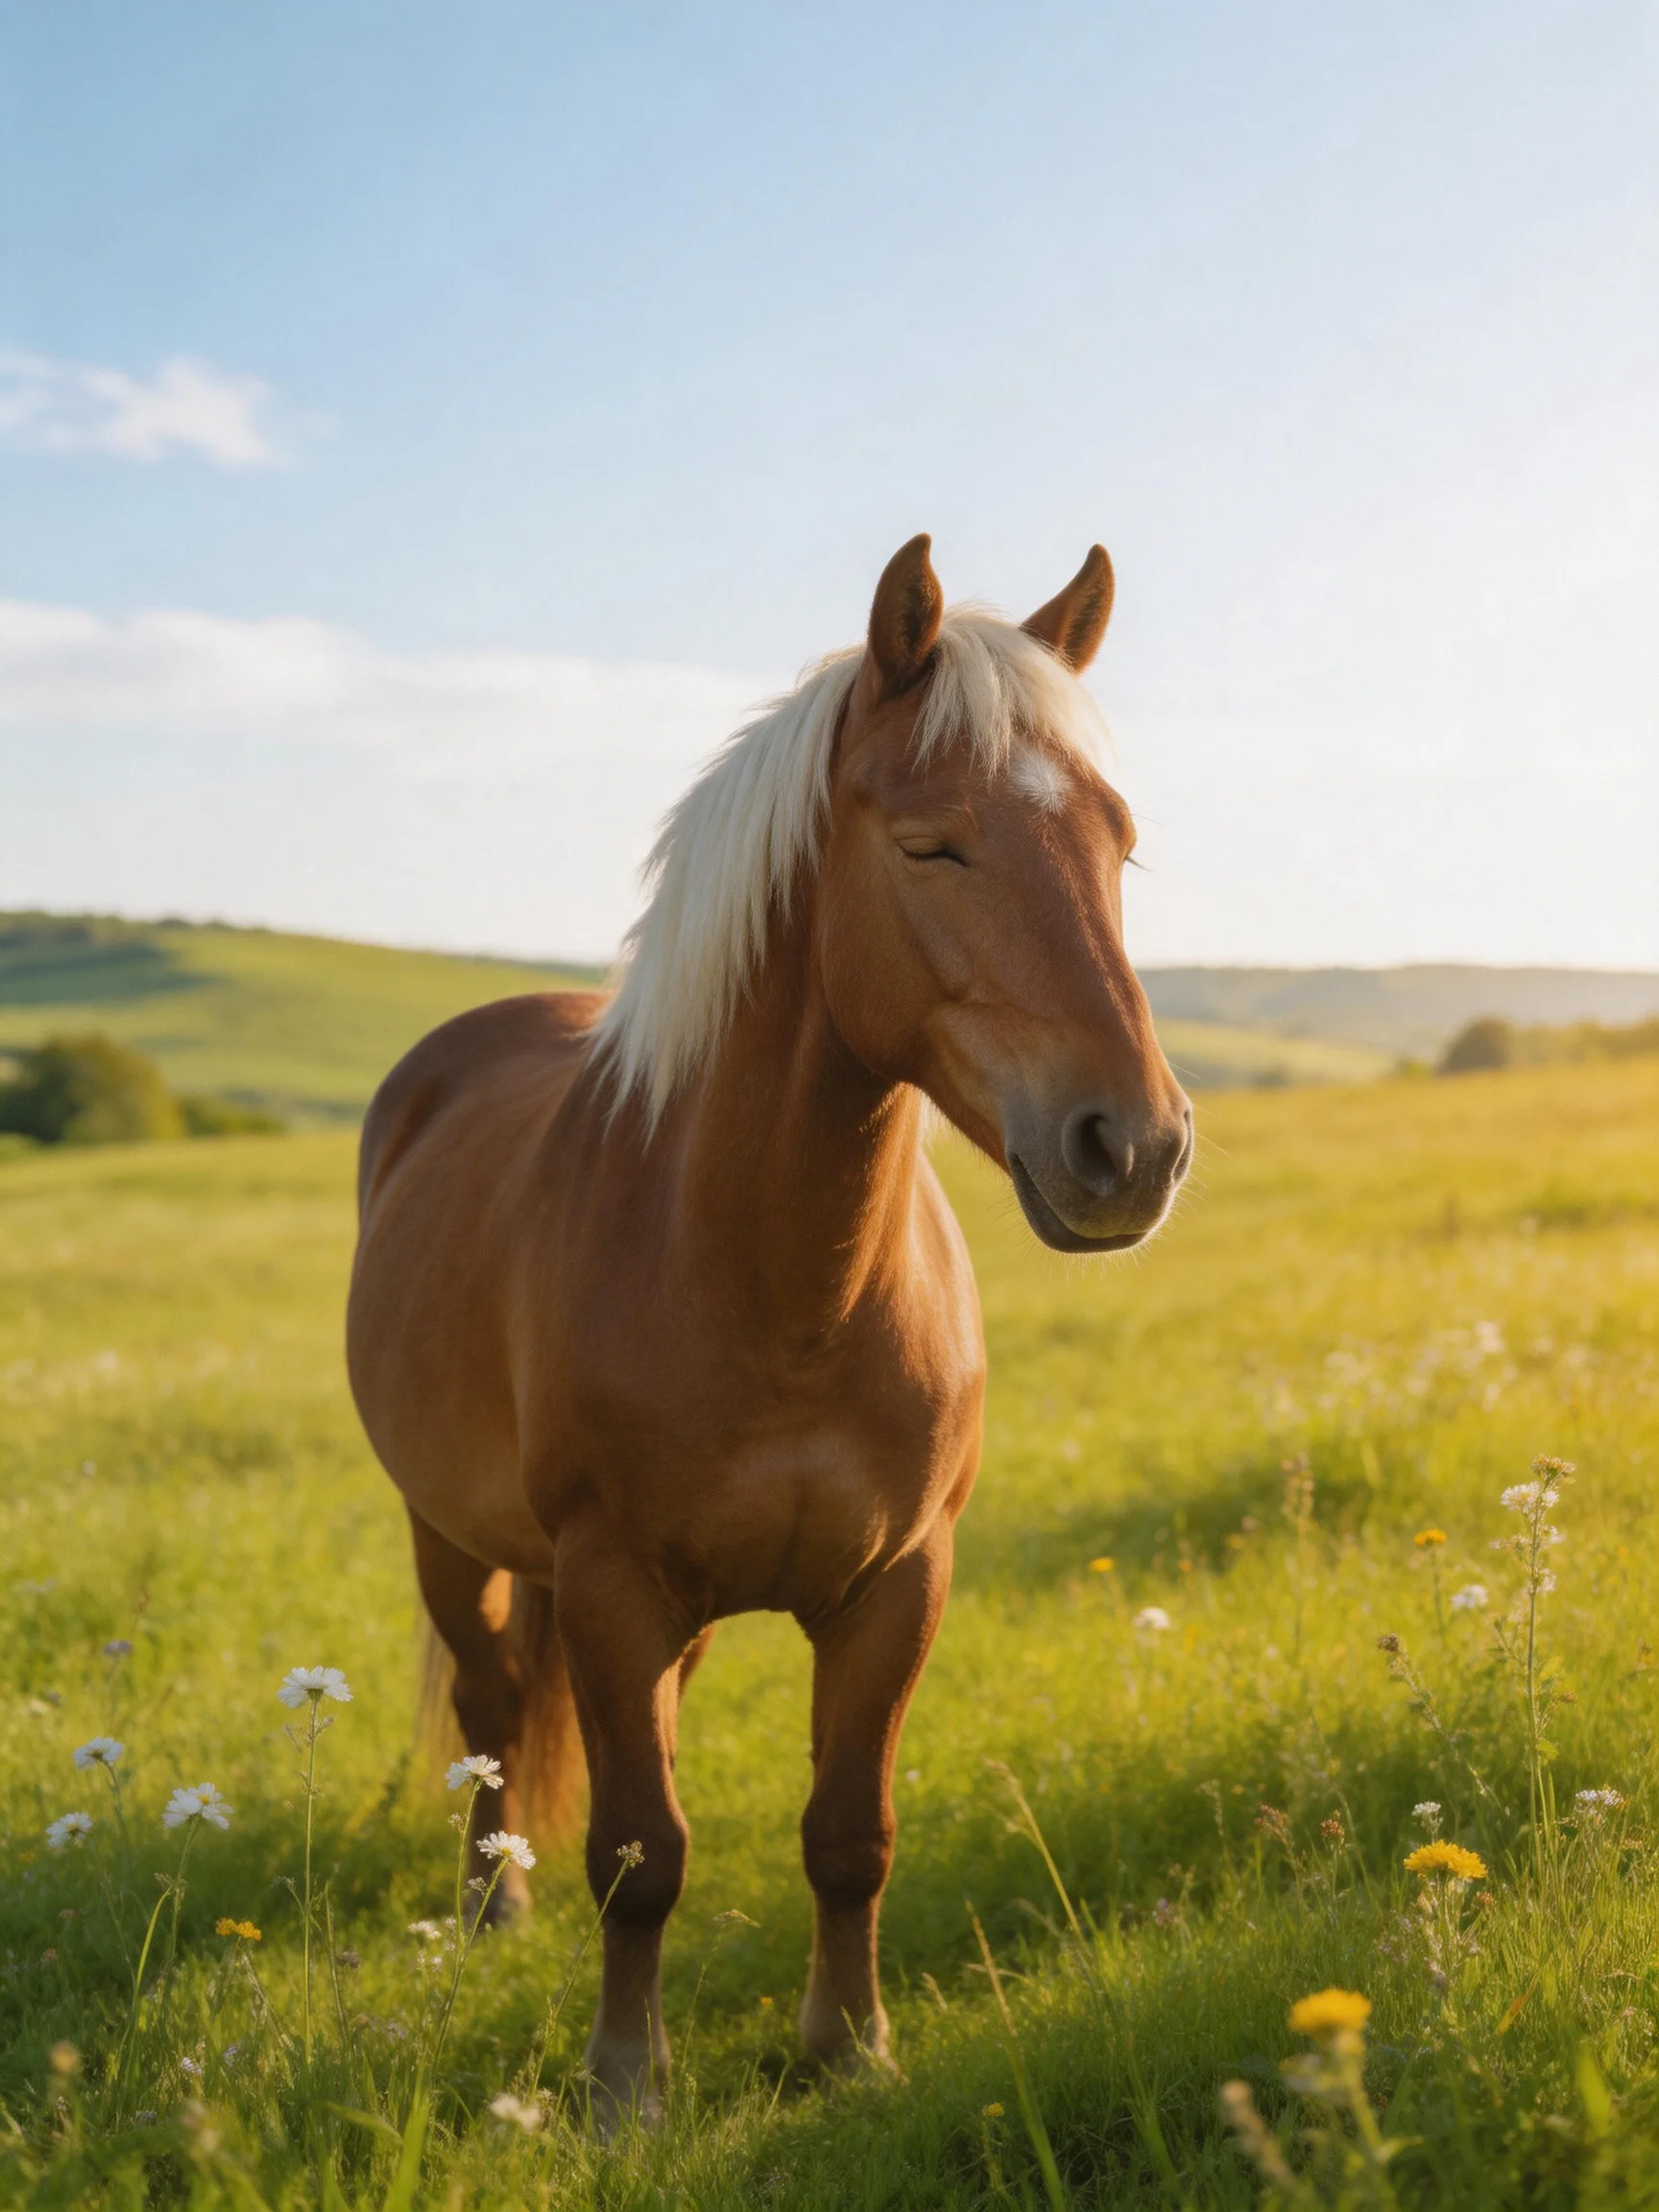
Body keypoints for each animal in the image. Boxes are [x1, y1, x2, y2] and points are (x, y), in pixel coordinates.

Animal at [346, 534, 1192, 2118]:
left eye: (1118, 843)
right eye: (931, 845)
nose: (1135, 1149)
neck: (774, 1288)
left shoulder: (896, 1586)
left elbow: (848, 1833)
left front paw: (849, 2051)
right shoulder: (610, 1580)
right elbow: (638, 1854)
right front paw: (626, 2089)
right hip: (452, 1538)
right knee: (492, 1712)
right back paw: (493, 1910)